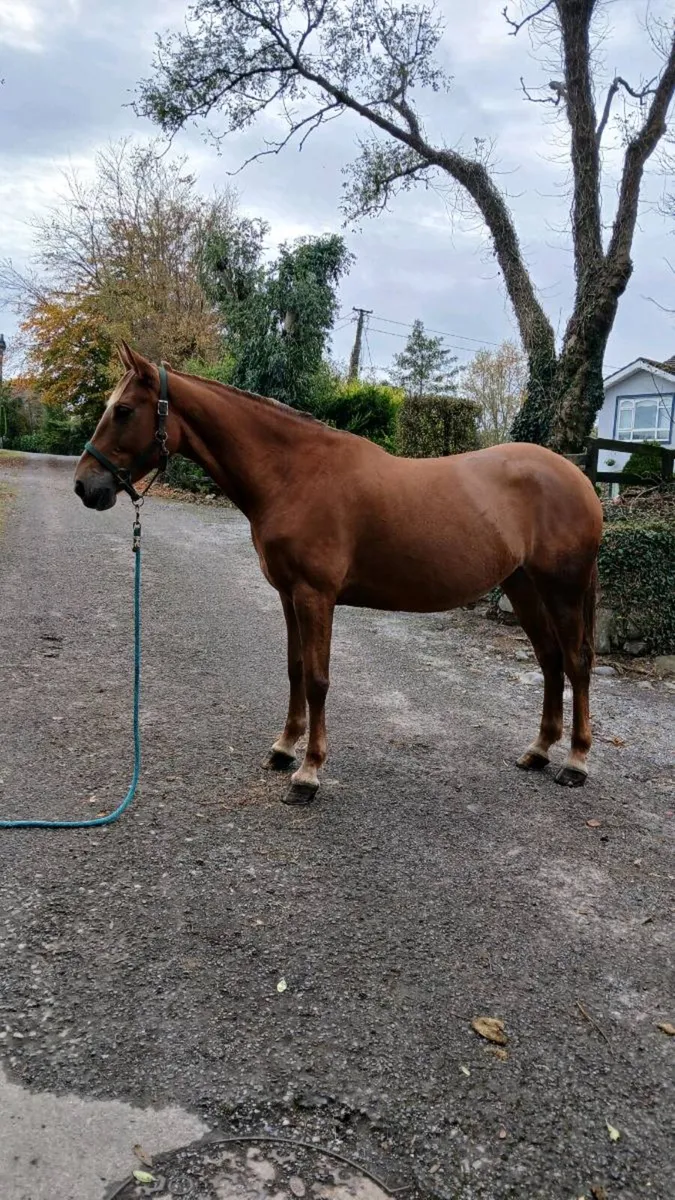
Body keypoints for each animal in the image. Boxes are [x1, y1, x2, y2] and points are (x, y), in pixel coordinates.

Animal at [74, 342, 603, 805]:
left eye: (124, 410)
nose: (84, 486)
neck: (294, 475)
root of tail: (578, 477)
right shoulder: (288, 595)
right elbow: (294, 669)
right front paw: (283, 749)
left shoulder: (316, 595)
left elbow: (318, 679)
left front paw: (308, 773)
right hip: (523, 587)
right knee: (550, 660)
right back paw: (539, 751)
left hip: (562, 588)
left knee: (576, 662)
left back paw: (575, 762)